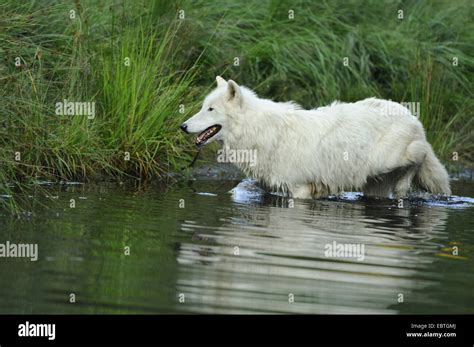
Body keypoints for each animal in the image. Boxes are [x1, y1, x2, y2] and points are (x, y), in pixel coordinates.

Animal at [181, 77, 452, 200]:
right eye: (203, 107)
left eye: (210, 110)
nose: (183, 126)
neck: (259, 131)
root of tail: (412, 116)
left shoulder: (300, 190)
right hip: (373, 186)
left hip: (391, 159)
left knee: (421, 156)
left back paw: (405, 186)